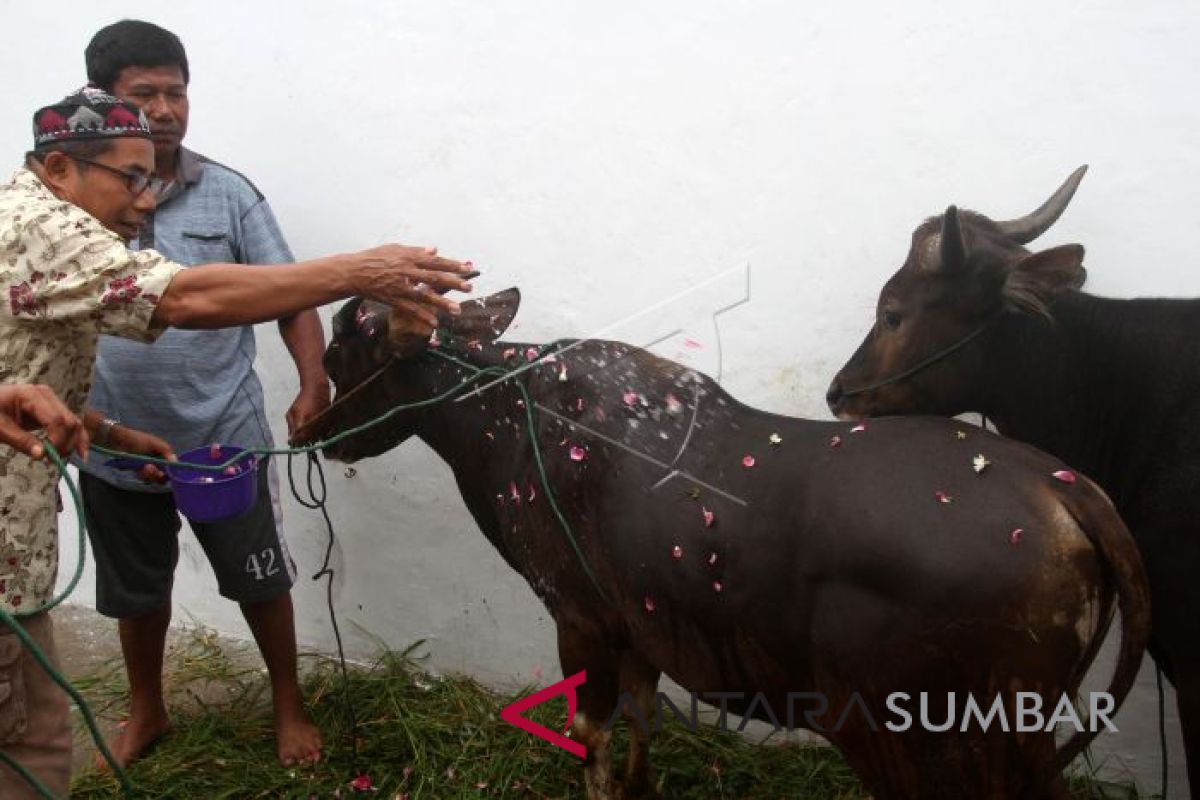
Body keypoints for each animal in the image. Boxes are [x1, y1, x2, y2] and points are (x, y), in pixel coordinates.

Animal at [297, 291, 1142, 800]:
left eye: (343, 347)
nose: (307, 432)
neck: (506, 419)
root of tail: (1072, 494)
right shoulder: (639, 622)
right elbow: (641, 714)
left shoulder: (581, 617)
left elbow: (590, 731)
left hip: (941, 741)